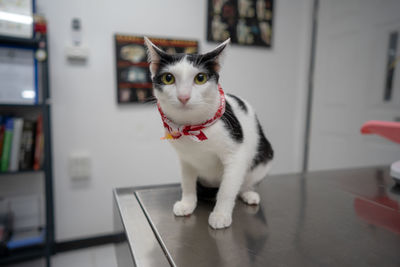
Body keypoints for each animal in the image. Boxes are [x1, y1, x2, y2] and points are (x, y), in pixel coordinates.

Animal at [145, 37, 276, 230]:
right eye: (168, 78)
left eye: (200, 78)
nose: (183, 96)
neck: (193, 128)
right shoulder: (185, 159)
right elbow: (187, 182)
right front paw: (188, 203)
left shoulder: (235, 155)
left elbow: (227, 189)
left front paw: (221, 214)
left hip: (264, 157)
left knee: (243, 183)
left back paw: (248, 194)